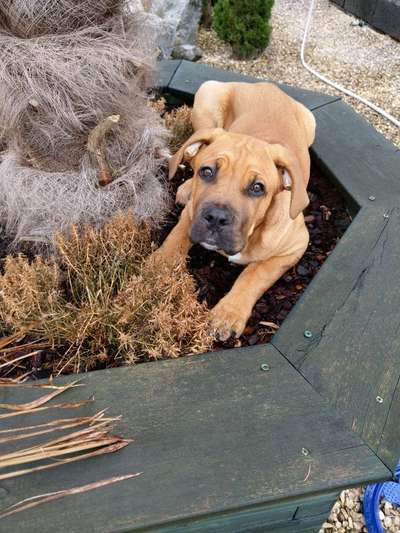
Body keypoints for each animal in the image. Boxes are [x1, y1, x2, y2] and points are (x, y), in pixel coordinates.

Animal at [156, 82, 316, 340]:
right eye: (207, 172)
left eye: (257, 188)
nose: (216, 218)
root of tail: (268, 85)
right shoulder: (192, 214)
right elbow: (176, 239)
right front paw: (158, 269)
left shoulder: (296, 245)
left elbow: (255, 274)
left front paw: (228, 314)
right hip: (207, 97)